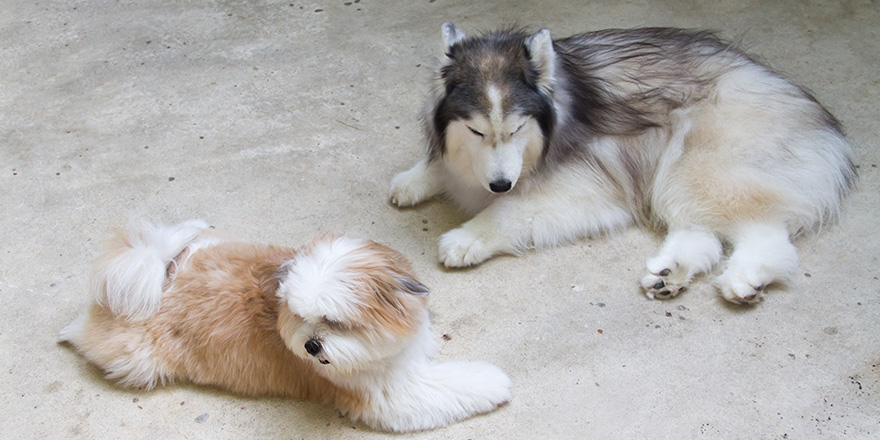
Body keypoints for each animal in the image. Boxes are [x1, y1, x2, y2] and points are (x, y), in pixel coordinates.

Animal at [60, 220, 508, 434]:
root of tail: (160, 282)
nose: (310, 346)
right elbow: (454, 385)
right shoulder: (391, 397)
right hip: (137, 359)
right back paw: (71, 330)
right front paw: (494, 383)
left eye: (334, 322)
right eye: (300, 317)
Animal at [390, 24, 852, 304]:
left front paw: (467, 238)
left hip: (697, 165)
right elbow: (442, 167)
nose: (501, 183)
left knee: (764, 234)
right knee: (702, 235)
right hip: (683, 178)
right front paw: (413, 180)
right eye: (476, 131)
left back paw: (745, 277)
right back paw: (670, 273)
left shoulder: (591, 185)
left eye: (518, 127)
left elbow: (509, 212)